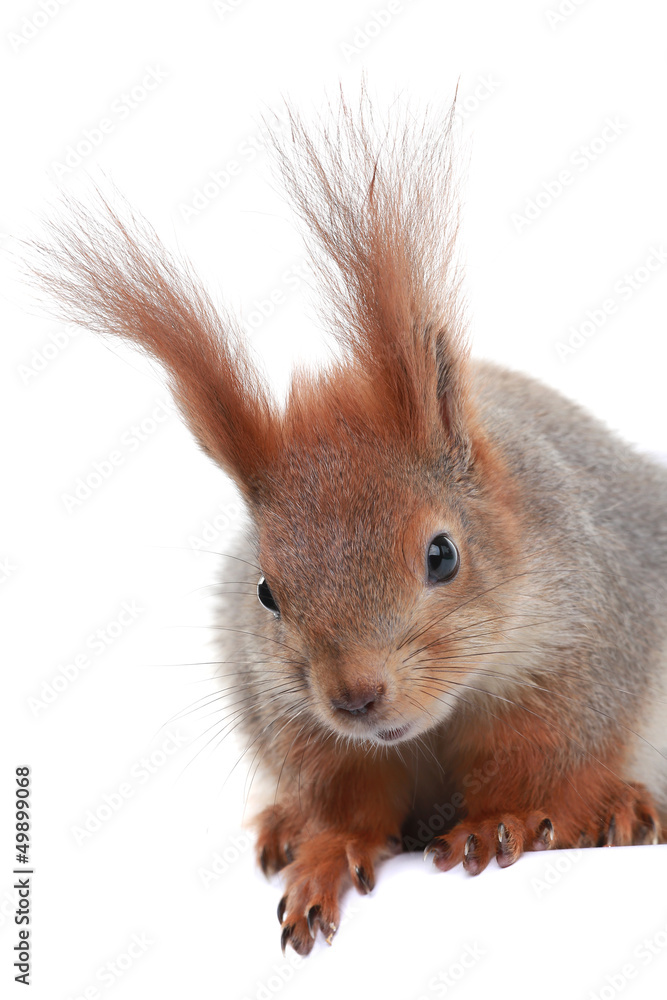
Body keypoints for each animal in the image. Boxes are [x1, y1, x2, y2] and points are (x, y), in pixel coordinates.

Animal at [25, 89, 667, 956]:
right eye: (265, 590)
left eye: (441, 555)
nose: (355, 697)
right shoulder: (300, 723)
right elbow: (347, 801)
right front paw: (325, 854)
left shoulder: (582, 653)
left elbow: (540, 766)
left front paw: (497, 820)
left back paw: (629, 810)